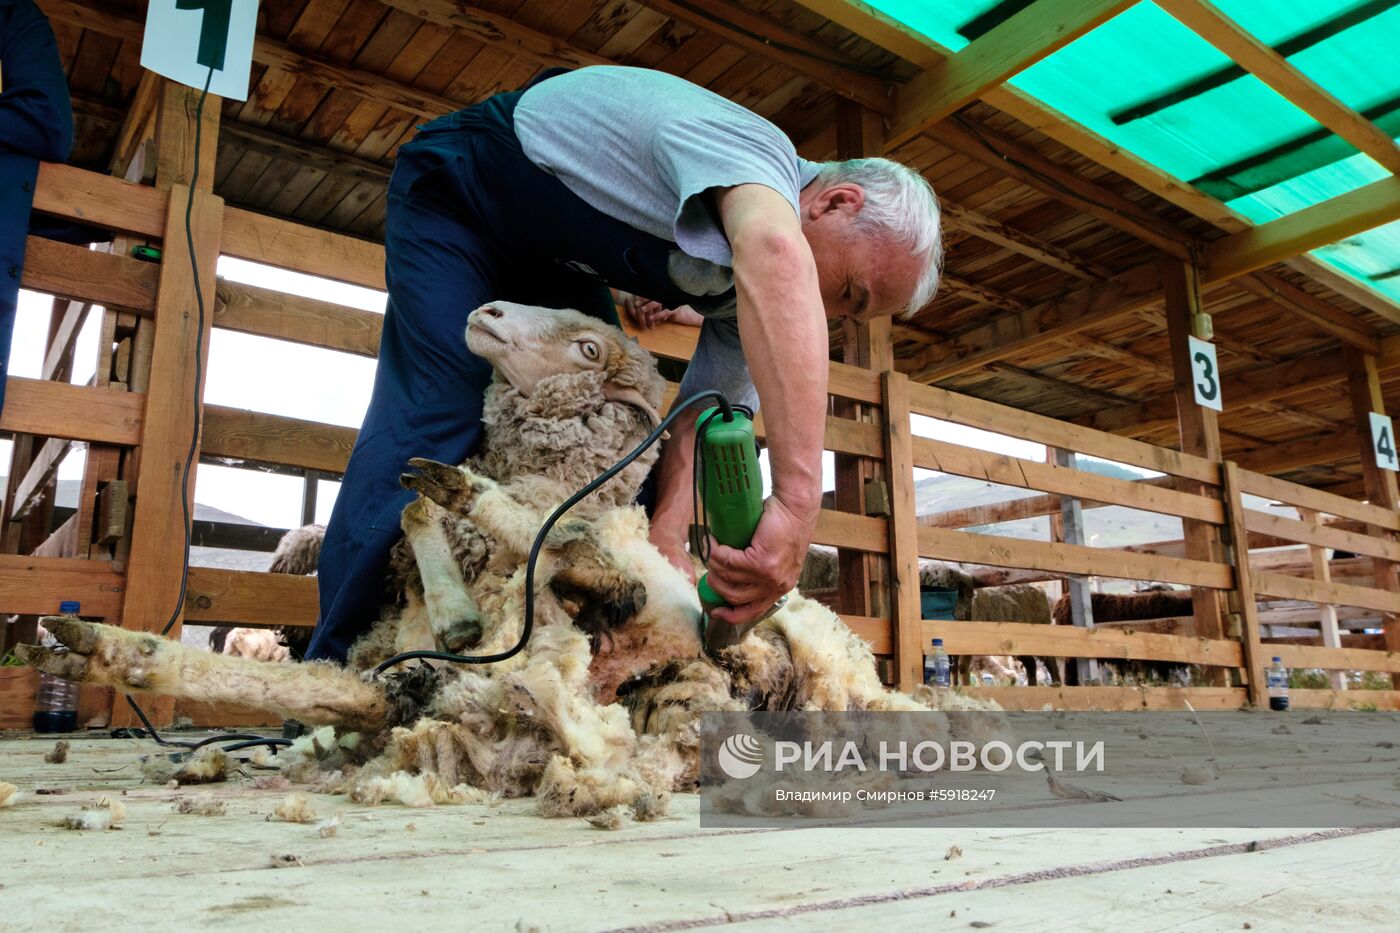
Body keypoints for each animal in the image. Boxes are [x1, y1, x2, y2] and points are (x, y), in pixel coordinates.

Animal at [24, 301, 1008, 818]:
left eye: (587, 343)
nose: (487, 309)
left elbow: (528, 543)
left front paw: (462, 522)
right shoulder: (409, 663)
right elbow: (352, 657)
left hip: (708, 646)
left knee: (596, 574)